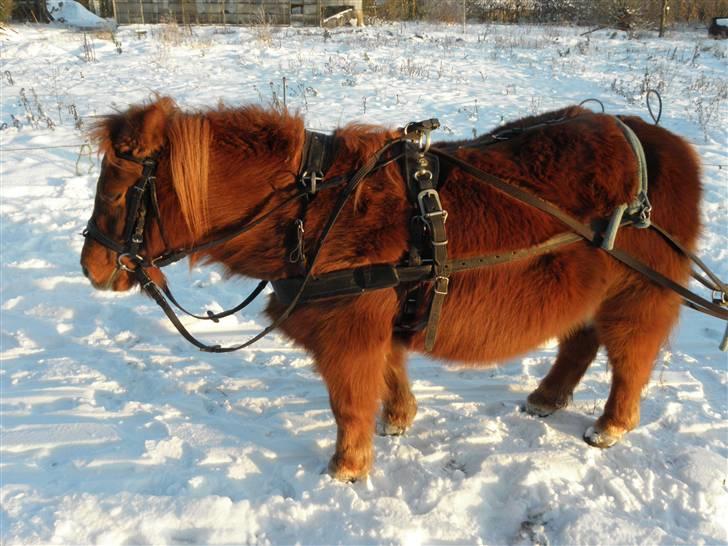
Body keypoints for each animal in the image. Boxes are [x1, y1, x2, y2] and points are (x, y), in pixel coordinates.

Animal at [82, 95, 704, 478]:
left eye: (115, 194)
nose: (89, 266)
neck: (312, 210)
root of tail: (664, 142)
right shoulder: (375, 323)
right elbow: (389, 372)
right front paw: (399, 420)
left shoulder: (347, 335)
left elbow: (349, 401)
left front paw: (347, 467)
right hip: (588, 290)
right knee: (580, 342)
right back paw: (546, 398)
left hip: (636, 294)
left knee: (630, 357)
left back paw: (610, 426)